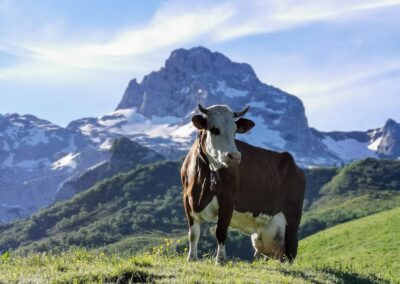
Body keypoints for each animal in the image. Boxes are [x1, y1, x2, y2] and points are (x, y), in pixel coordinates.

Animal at [181, 103, 306, 264]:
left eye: (235, 131)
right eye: (214, 129)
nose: (234, 156)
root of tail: (294, 164)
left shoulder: (228, 200)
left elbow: (220, 231)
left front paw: (220, 260)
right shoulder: (187, 199)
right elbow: (193, 233)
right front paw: (191, 258)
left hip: (293, 216)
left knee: (291, 248)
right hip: (265, 235)